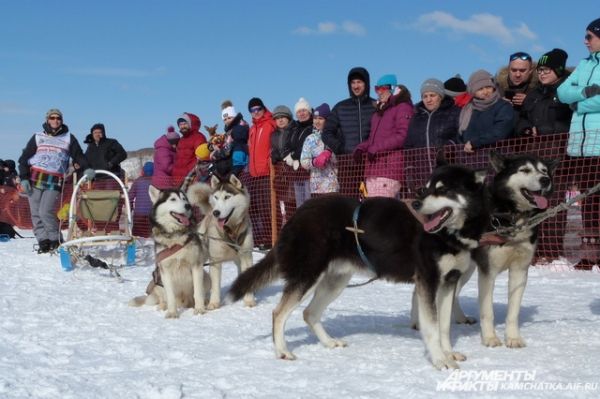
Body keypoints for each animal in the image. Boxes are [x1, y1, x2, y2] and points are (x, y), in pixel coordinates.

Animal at [127, 186, 210, 320]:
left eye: (184, 199)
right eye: (173, 199)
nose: (188, 206)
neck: (175, 235)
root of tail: (184, 302)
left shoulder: (196, 264)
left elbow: (198, 292)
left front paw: (199, 309)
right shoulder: (165, 270)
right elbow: (170, 296)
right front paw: (172, 312)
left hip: (206, 278)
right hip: (157, 282)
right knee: (163, 298)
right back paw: (162, 306)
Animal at [186, 175, 254, 310]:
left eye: (227, 197)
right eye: (216, 197)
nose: (216, 212)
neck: (231, 231)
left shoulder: (246, 255)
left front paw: (249, 300)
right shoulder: (215, 260)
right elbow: (215, 285)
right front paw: (214, 303)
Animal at [225, 160, 488, 368]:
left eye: (444, 190)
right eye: (426, 188)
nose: (416, 205)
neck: (448, 235)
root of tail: (297, 214)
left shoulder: (448, 282)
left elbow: (444, 326)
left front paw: (449, 353)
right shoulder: (427, 282)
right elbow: (432, 328)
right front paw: (440, 360)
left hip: (335, 282)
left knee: (310, 313)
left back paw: (329, 342)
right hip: (307, 276)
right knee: (279, 313)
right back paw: (282, 351)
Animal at [474, 152, 556, 348]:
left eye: (544, 170)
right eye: (524, 170)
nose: (545, 180)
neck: (513, 216)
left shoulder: (520, 270)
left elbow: (513, 312)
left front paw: (512, 338)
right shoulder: (487, 272)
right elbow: (487, 311)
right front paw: (490, 338)